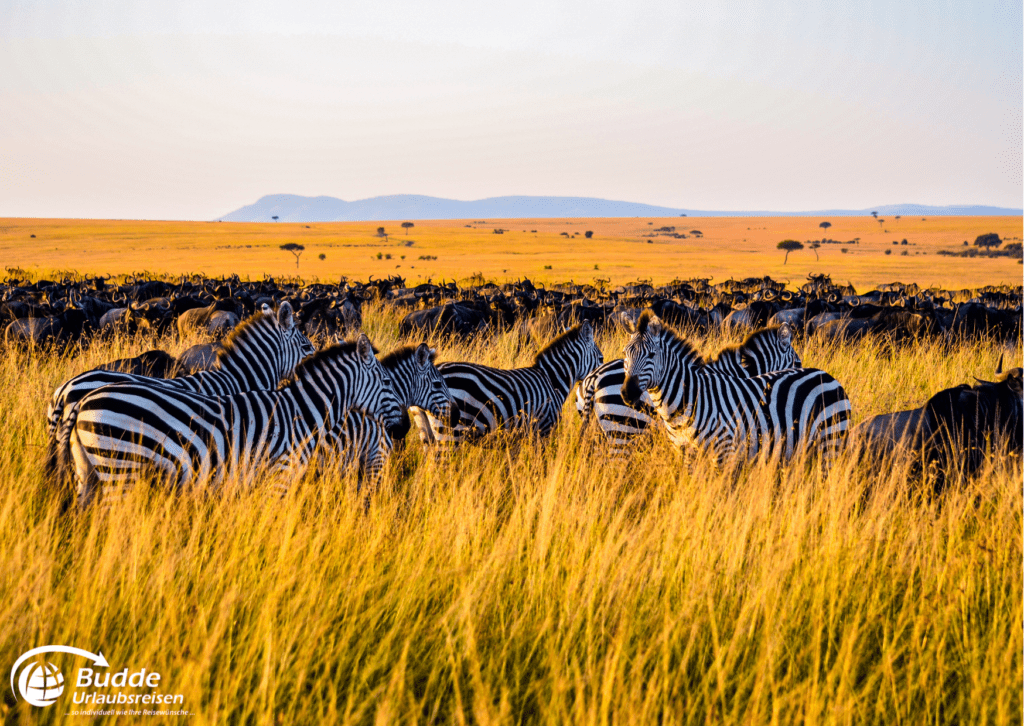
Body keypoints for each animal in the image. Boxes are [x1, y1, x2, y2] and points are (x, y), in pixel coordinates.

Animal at [58, 333, 403, 503]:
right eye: (387, 382)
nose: (403, 429)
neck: (302, 413)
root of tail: (81, 399)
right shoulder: (279, 475)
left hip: (88, 471)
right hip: (120, 469)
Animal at [618, 313, 851, 464]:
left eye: (651, 355)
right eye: (624, 353)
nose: (628, 393)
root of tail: (828, 375)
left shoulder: (725, 451)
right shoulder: (685, 454)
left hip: (830, 440)